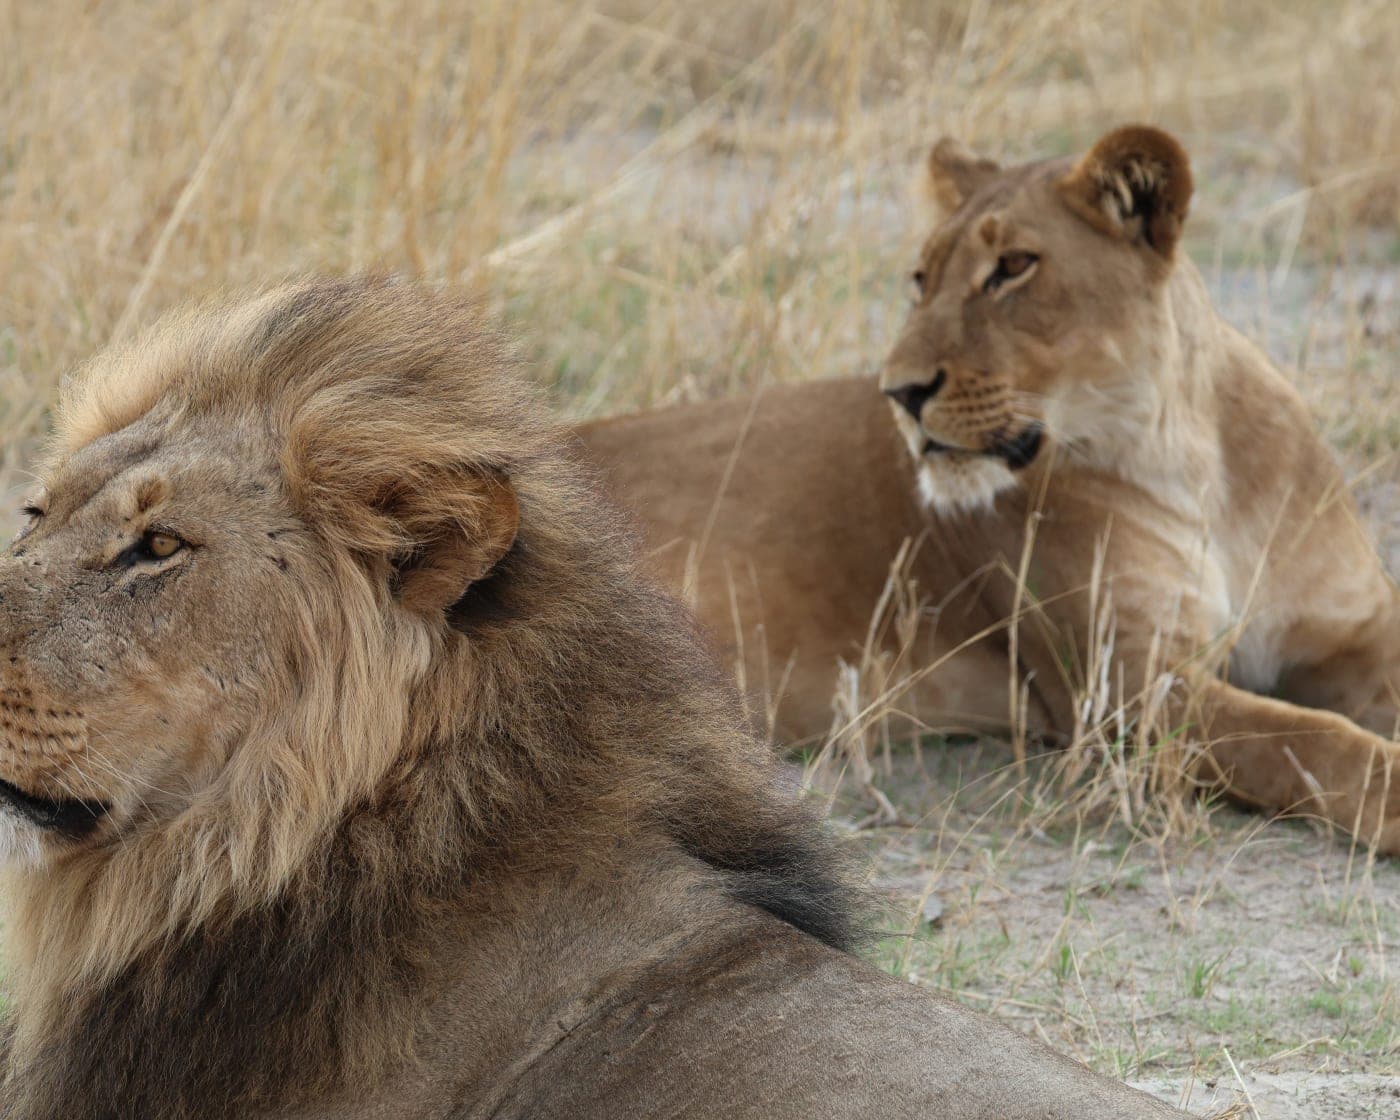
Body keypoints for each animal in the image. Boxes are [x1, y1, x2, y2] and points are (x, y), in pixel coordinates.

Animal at [578, 125, 1400, 853]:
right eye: (922, 280)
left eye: (1013, 266)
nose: (900, 392)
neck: (1185, 453)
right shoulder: (1117, 688)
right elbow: (1303, 736)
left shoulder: (1348, 631)